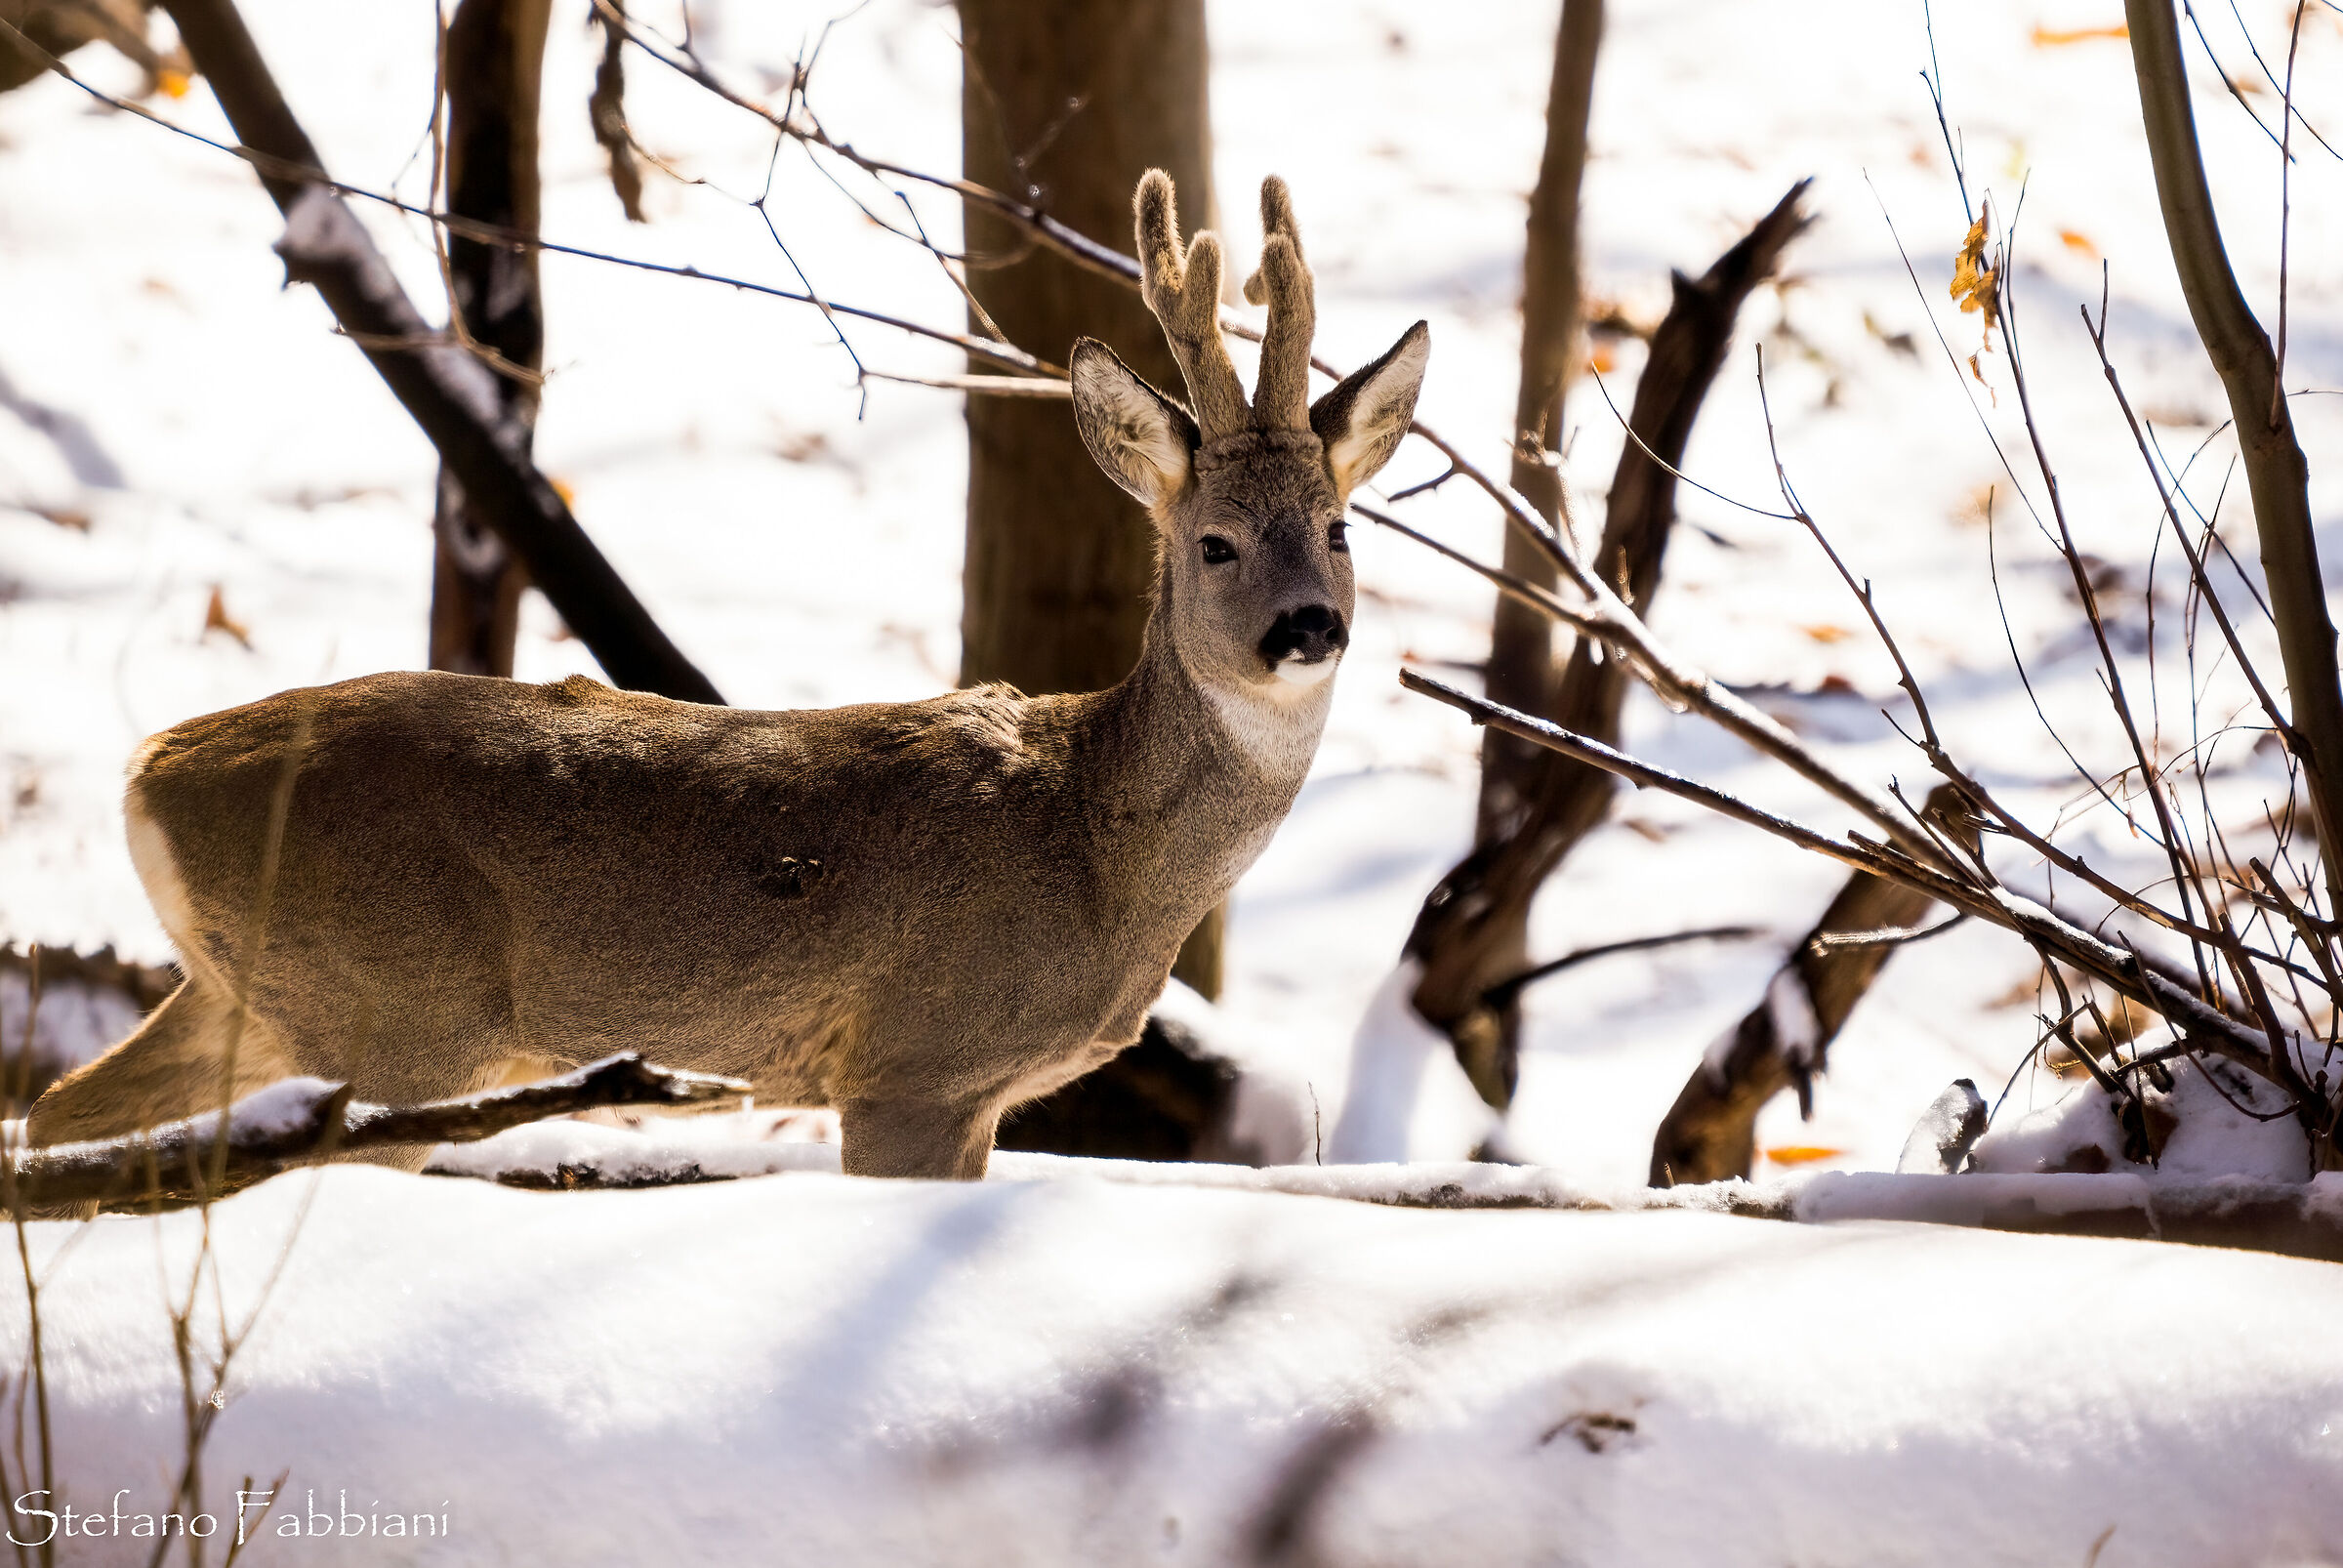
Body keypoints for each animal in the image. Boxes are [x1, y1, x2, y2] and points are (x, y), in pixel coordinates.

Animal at [27, 171, 1430, 1179]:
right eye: (1215, 541)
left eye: (1342, 528)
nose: (1309, 627)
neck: (1096, 843)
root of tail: (145, 774)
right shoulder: (915, 1062)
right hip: (396, 1018)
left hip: (252, 1000)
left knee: (54, 1117)